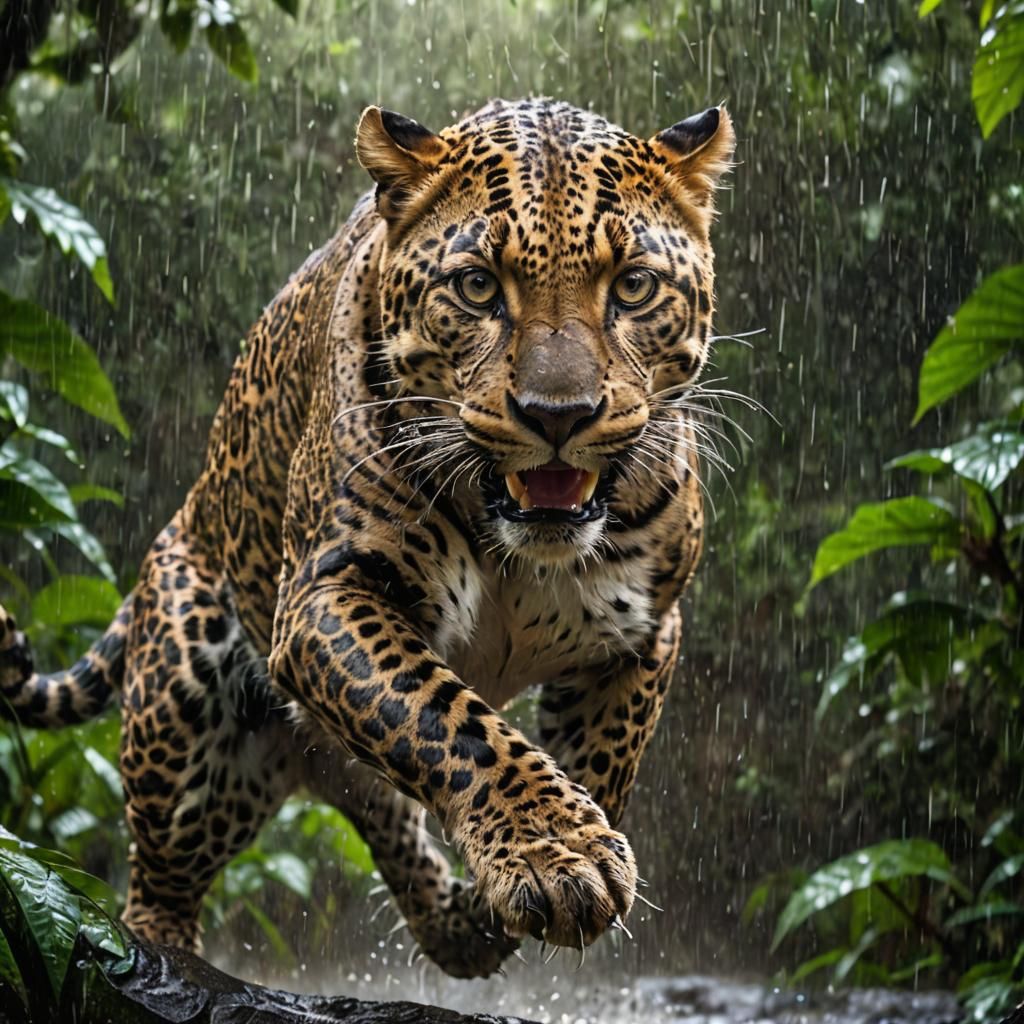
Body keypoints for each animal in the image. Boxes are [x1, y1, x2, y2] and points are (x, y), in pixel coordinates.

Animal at [0, 97, 735, 979]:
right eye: (478, 287)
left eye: (632, 286)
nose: (558, 416)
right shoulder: (327, 592)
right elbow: (450, 721)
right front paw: (555, 851)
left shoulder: (648, 629)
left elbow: (603, 757)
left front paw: (551, 857)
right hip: (185, 687)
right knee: (161, 879)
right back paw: (163, 956)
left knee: (393, 832)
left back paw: (463, 922)